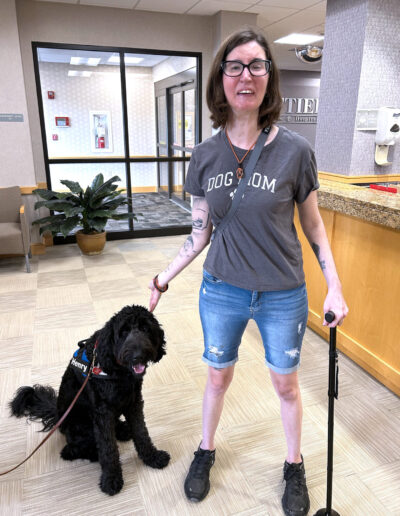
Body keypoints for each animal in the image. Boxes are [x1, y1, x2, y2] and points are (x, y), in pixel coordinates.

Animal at [9, 304, 169, 494]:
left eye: (145, 329)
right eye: (123, 332)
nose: (138, 355)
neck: (117, 370)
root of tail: (57, 416)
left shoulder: (134, 402)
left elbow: (141, 432)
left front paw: (152, 457)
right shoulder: (102, 413)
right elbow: (108, 448)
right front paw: (111, 479)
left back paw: (123, 429)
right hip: (80, 426)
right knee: (70, 450)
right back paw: (93, 453)